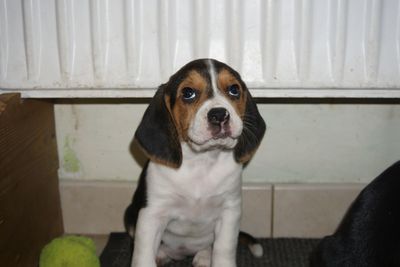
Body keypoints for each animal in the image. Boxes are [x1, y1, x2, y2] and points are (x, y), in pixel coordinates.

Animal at [123, 59, 264, 267]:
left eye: (234, 90)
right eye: (188, 93)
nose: (219, 115)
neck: (201, 161)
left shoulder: (229, 211)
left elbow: (224, 249)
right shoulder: (152, 214)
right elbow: (143, 255)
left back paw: (204, 256)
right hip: (129, 215)